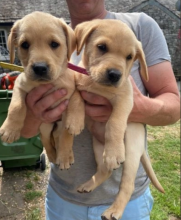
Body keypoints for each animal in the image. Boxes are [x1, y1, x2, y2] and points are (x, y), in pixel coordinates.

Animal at [0, 11, 84, 170]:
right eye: (24, 45)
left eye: (54, 44)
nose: (39, 68)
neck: (51, 82)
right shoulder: (19, 84)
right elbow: (16, 106)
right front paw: (10, 129)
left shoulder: (70, 94)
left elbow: (66, 136)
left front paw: (64, 156)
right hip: (45, 127)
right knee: (47, 143)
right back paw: (52, 157)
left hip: (57, 126)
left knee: (58, 139)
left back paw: (66, 156)